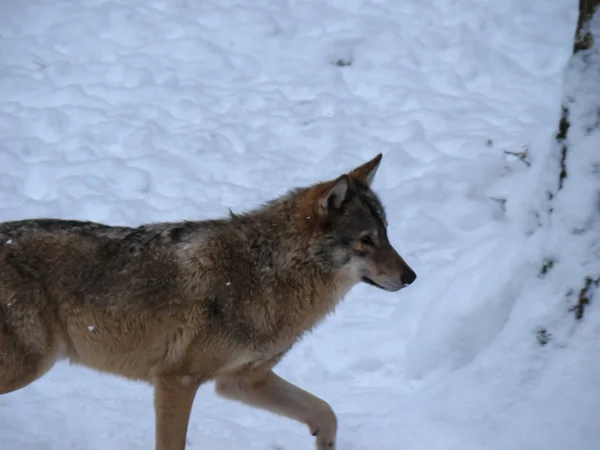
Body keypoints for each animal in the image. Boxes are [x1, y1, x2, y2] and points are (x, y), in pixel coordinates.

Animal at [0, 153, 418, 448]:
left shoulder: (243, 381)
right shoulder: (177, 380)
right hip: (31, 365)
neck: (266, 273)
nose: (411, 277)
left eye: (386, 233)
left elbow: (326, 412)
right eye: (365, 240)